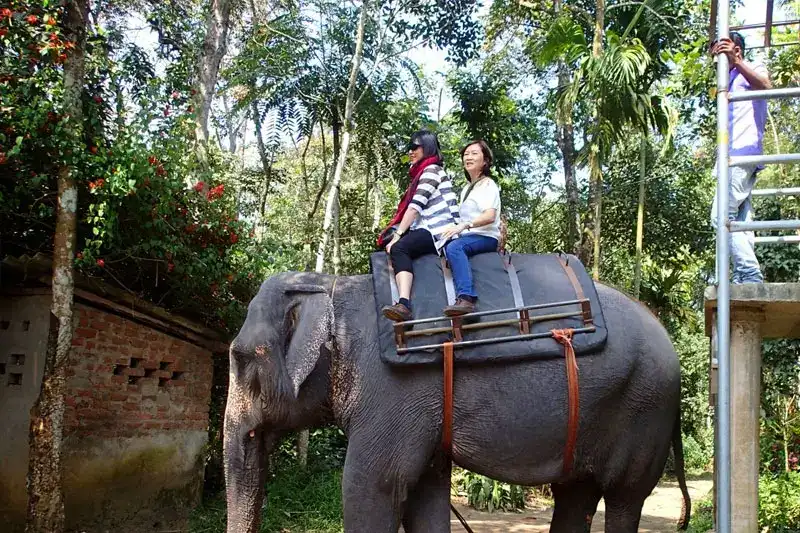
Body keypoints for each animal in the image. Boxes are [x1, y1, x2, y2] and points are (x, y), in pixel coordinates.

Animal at [223, 269, 690, 533]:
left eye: (239, 358)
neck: (333, 286)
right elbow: (425, 490)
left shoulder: (394, 391)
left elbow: (372, 485)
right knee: (576, 496)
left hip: (644, 410)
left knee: (625, 497)